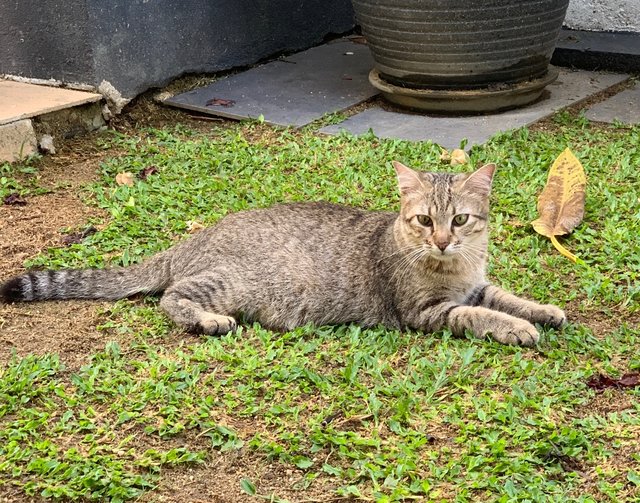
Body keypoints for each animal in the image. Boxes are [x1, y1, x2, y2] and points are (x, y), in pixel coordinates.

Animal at [0, 161, 564, 346]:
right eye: (425, 221)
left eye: (460, 220)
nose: (442, 240)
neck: (455, 267)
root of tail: (194, 238)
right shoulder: (426, 311)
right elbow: (477, 315)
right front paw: (515, 329)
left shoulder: (478, 284)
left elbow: (506, 297)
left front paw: (542, 310)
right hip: (229, 283)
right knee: (171, 297)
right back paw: (208, 321)